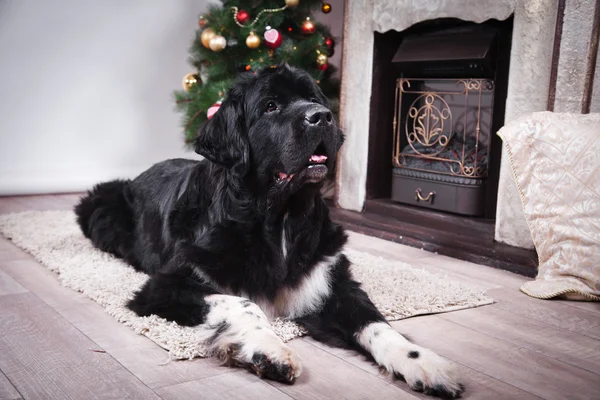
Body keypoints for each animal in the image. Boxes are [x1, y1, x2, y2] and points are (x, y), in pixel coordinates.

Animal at [75, 65, 464, 396]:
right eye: (271, 106)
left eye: (316, 99)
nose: (322, 116)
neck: (280, 218)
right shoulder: (165, 286)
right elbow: (243, 302)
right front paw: (270, 350)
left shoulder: (332, 280)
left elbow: (376, 323)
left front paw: (424, 363)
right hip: (99, 203)